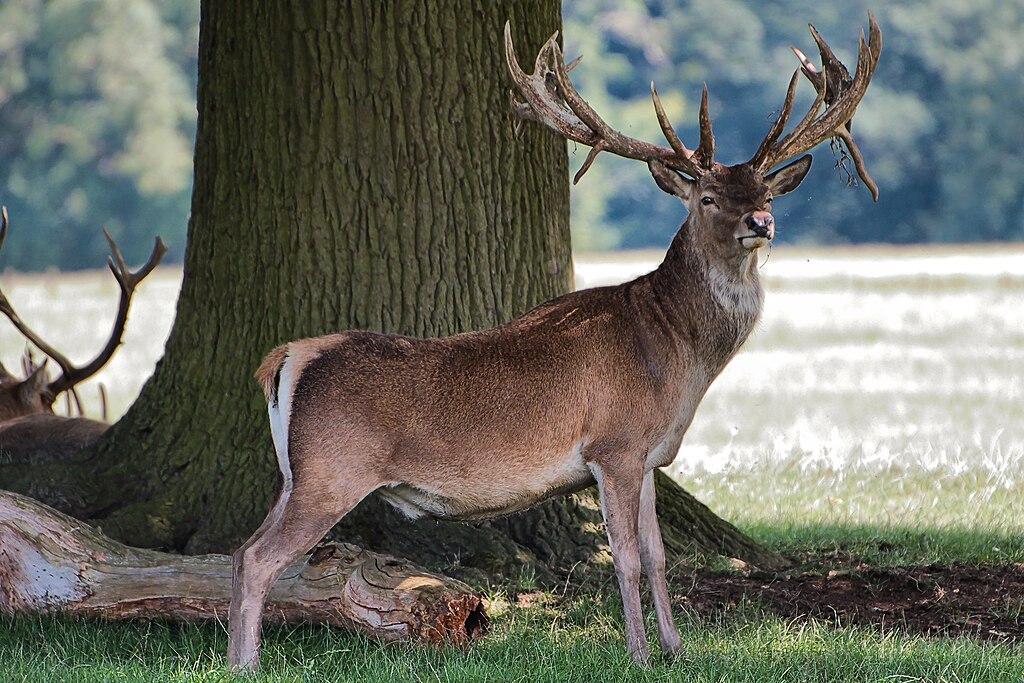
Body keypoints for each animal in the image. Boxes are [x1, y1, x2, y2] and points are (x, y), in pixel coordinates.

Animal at [228, 13, 881, 670]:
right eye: (708, 197)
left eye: (766, 193)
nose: (760, 223)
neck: (675, 351)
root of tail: (286, 358)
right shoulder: (613, 444)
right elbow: (627, 557)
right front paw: (639, 654)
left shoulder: (649, 455)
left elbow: (659, 555)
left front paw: (676, 647)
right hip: (331, 469)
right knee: (258, 557)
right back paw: (246, 662)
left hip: (298, 474)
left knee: (240, 549)